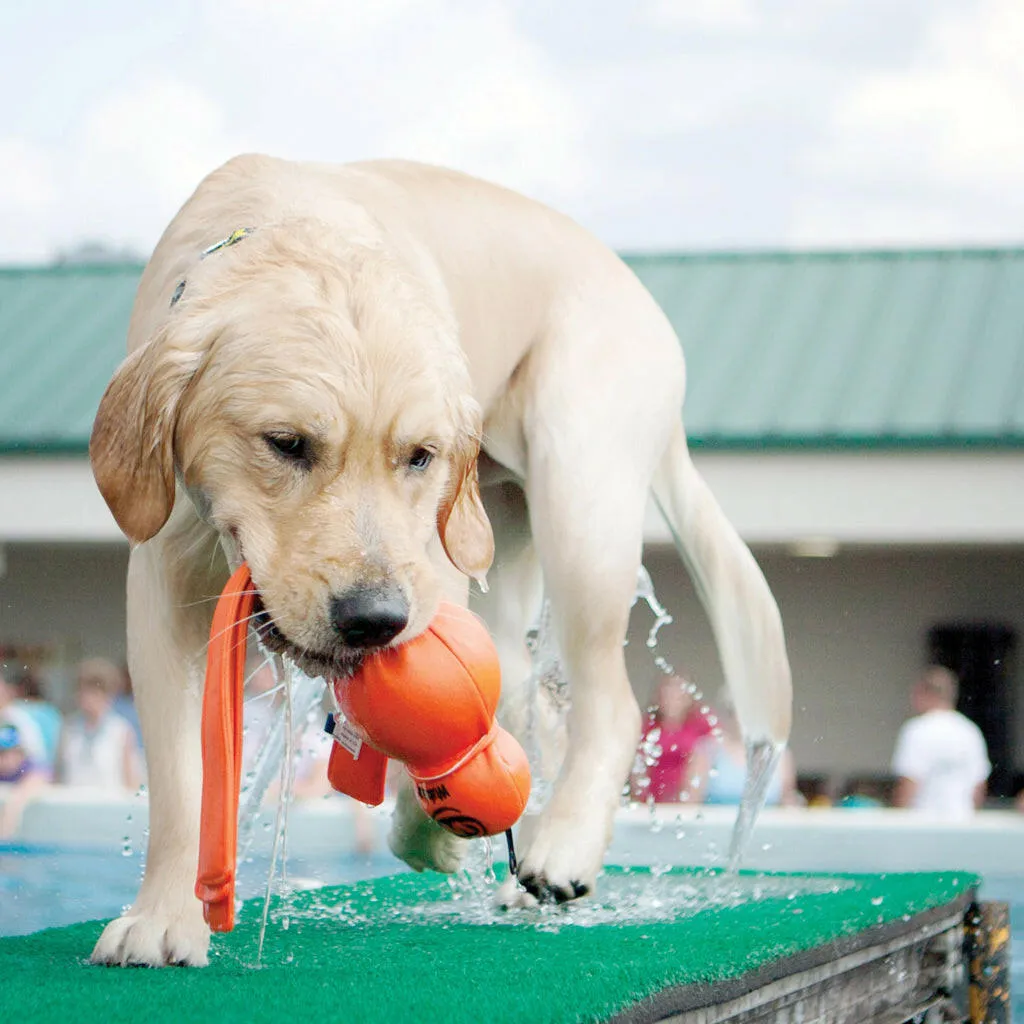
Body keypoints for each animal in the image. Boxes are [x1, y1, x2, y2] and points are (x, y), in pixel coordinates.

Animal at [88, 153, 790, 966]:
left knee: (606, 702)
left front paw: (432, 830)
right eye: (286, 443)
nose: (373, 620)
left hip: (579, 494)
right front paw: (162, 917)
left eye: (419, 456)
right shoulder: (163, 571)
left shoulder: (431, 565)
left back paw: (561, 850)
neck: (289, 219)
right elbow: (179, 776)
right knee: (534, 700)